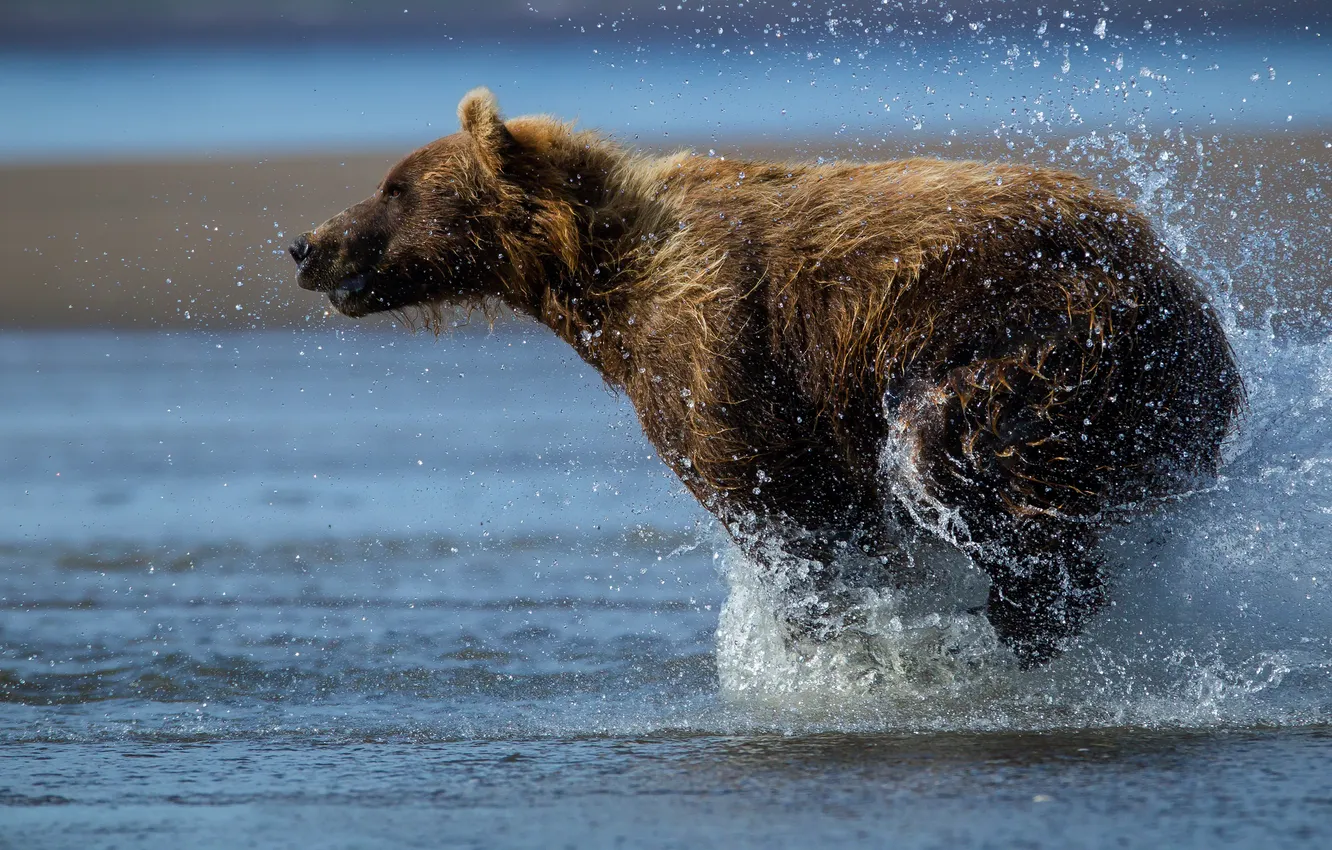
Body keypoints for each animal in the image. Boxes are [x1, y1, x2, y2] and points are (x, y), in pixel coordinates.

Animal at [290, 88, 1244, 667]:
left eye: (396, 186)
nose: (306, 242)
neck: (601, 279)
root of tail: (1179, 282)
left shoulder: (718, 353)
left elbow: (788, 513)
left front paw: (828, 645)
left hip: (1052, 338)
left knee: (953, 450)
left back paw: (1022, 612)